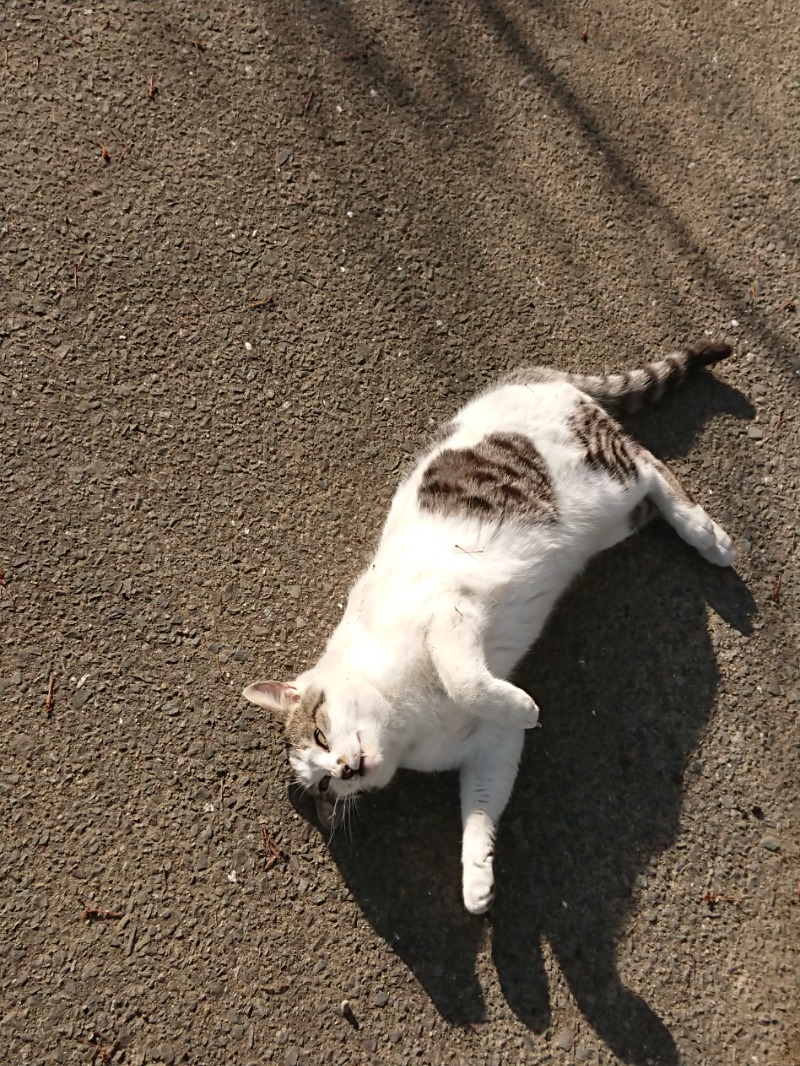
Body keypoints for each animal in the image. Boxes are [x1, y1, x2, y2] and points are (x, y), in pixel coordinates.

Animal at [244, 343, 738, 916]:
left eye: (322, 736)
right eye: (325, 787)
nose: (345, 770)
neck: (406, 720)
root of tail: (528, 376)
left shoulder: (449, 615)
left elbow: (468, 681)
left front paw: (523, 704)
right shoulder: (490, 745)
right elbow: (482, 806)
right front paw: (476, 881)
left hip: (602, 481)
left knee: (652, 465)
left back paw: (708, 536)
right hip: (613, 521)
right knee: (648, 500)